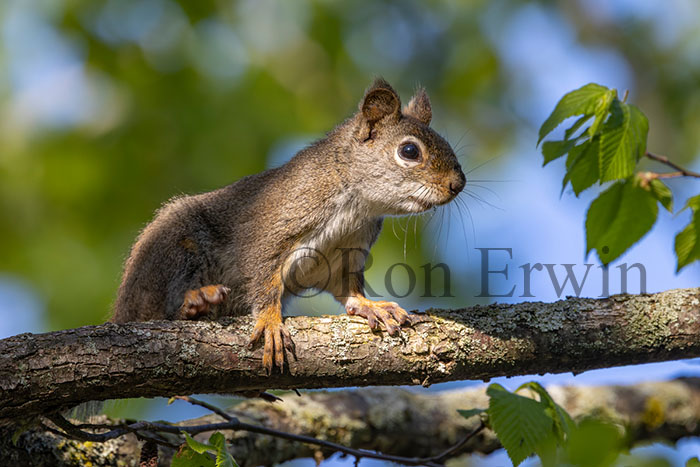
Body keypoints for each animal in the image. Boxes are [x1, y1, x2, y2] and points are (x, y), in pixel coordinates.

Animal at [111, 78, 466, 374]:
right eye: (409, 151)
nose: (458, 184)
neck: (355, 204)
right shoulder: (270, 232)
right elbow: (263, 280)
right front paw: (269, 322)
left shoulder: (343, 254)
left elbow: (348, 289)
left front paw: (370, 306)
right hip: (173, 247)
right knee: (158, 309)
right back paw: (195, 301)